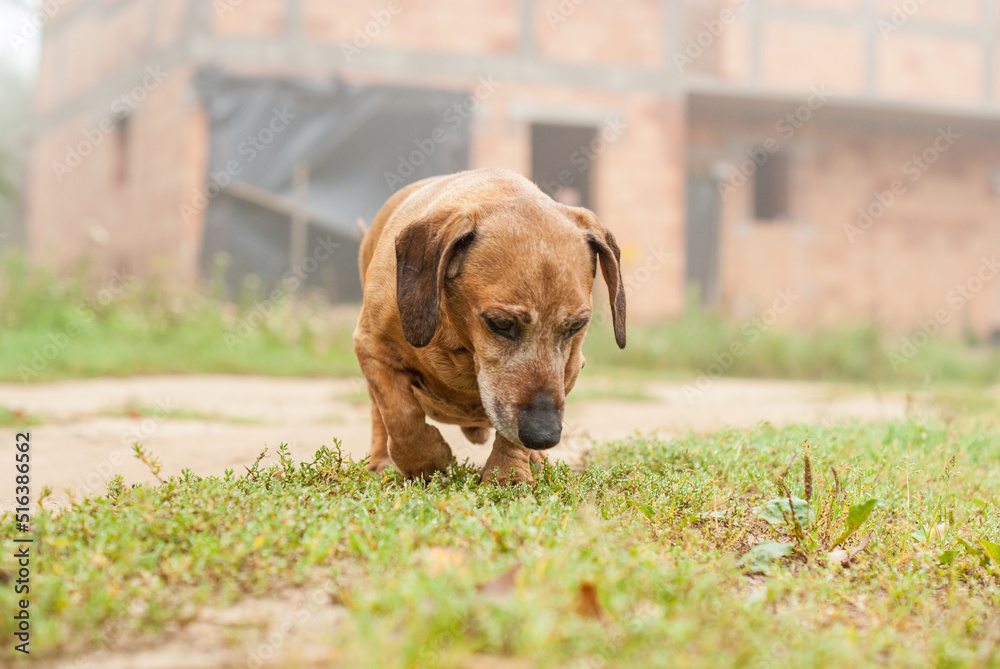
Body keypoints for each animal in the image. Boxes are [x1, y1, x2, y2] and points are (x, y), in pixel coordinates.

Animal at [352, 166, 624, 480]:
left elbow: (510, 438)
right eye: (501, 323)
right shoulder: (372, 349)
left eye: (576, 326)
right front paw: (425, 460)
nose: (544, 435)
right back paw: (380, 459)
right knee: (378, 413)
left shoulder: (568, 370)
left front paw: (507, 473)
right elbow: (401, 417)